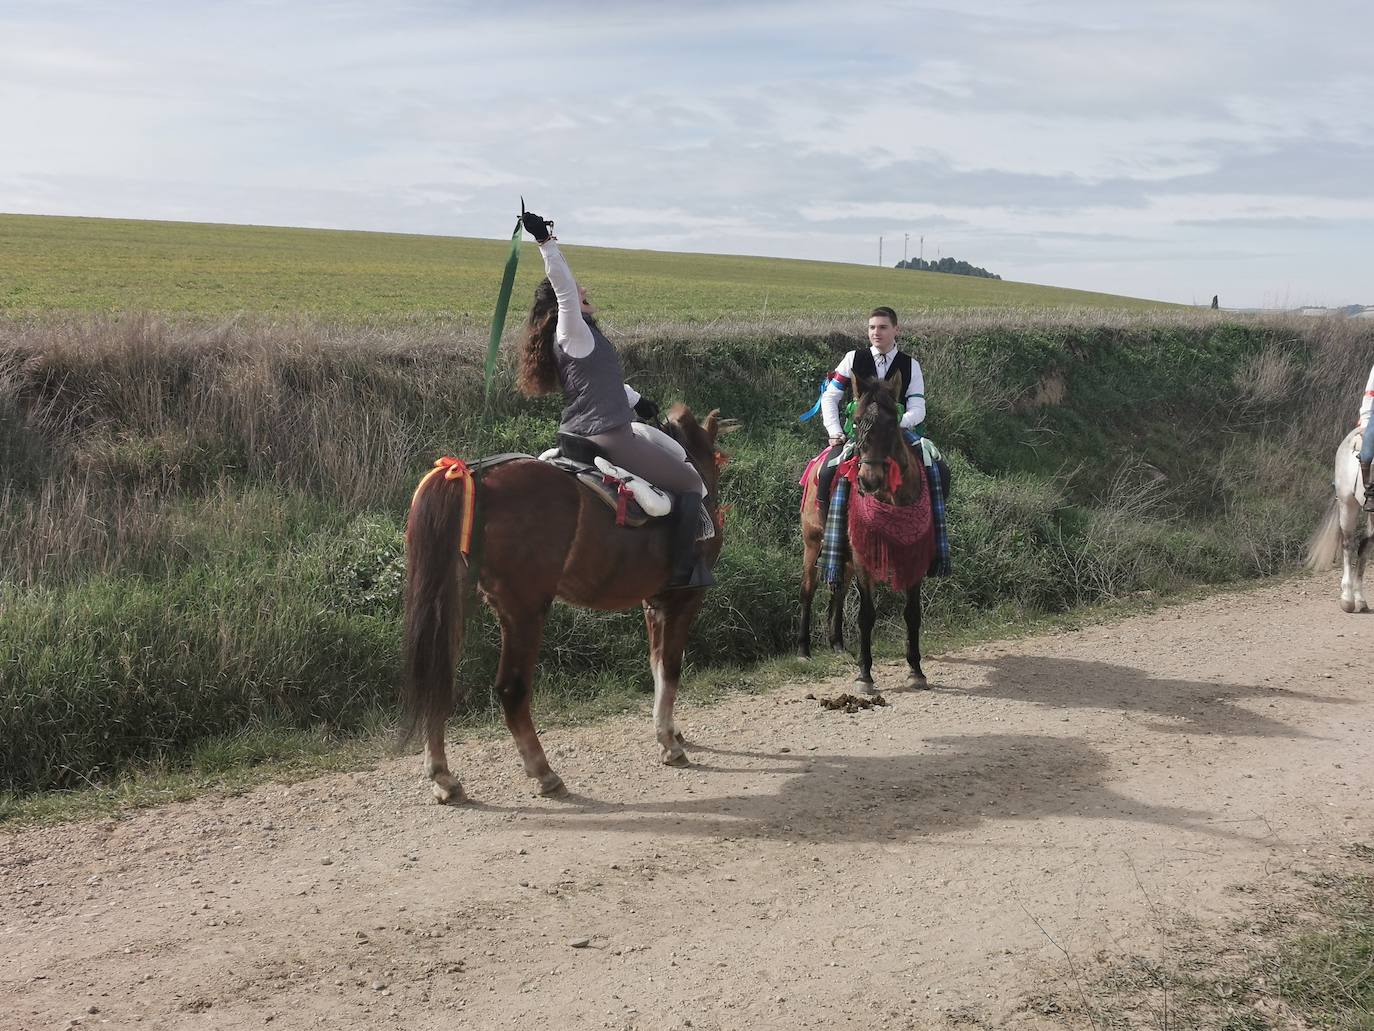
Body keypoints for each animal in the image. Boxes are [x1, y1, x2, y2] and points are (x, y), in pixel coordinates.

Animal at [401, 406, 725, 802]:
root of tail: (471, 476)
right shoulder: (683, 600)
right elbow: (670, 667)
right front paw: (669, 742)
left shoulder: (654, 603)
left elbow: (656, 664)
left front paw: (669, 730)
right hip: (524, 611)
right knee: (512, 690)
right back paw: (543, 772)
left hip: (452, 607)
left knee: (438, 679)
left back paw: (443, 776)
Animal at [796, 379, 934, 695]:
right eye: (857, 421)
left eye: (892, 423)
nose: (869, 480)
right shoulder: (863, 556)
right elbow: (866, 615)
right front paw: (865, 675)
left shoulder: (913, 556)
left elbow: (912, 612)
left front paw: (916, 670)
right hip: (812, 544)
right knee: (808, 589)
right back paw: (803, 649)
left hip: (843, 555)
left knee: (839, 590)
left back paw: (837, 645)